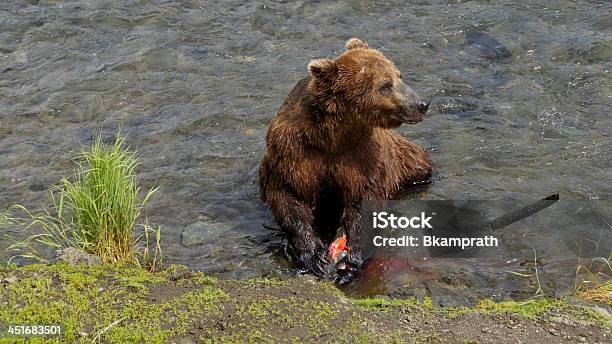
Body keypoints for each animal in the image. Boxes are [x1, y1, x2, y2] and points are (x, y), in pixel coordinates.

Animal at [260, 37, 432, 278]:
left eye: (399, 75)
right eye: (385, 85)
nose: (422, 104)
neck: (334, 135)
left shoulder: (363, 155)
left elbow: (363, 201)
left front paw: (349, 259)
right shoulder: (294, 151)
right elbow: (289, 196)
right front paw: (315, 255)